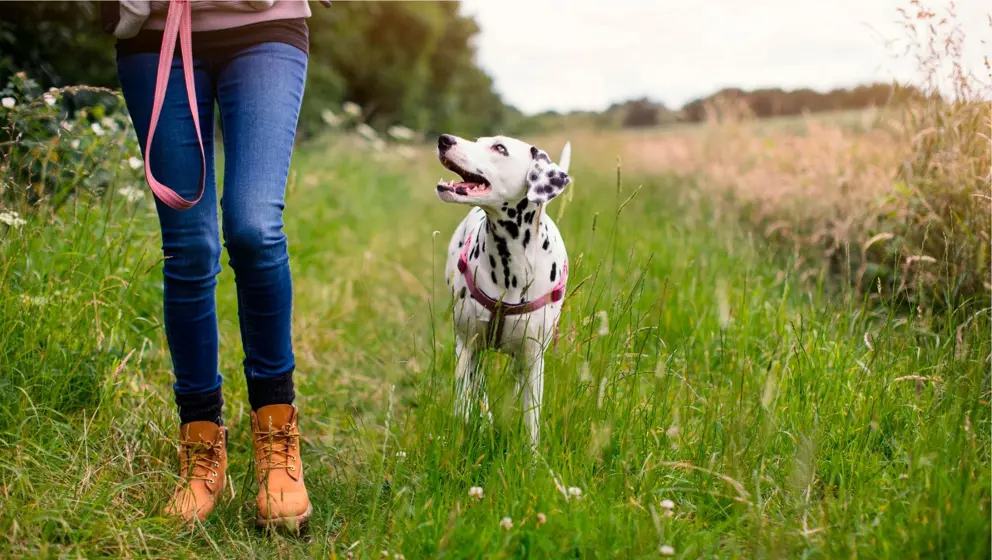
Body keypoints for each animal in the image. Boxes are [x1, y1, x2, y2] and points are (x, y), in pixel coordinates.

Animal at [436, 132, 572, 450]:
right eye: (478, 141)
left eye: (499, 148)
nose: (444, 139)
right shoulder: (467, 346)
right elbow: (464, 403)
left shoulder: (533, 360)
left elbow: (531, 421)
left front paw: (532, 458)